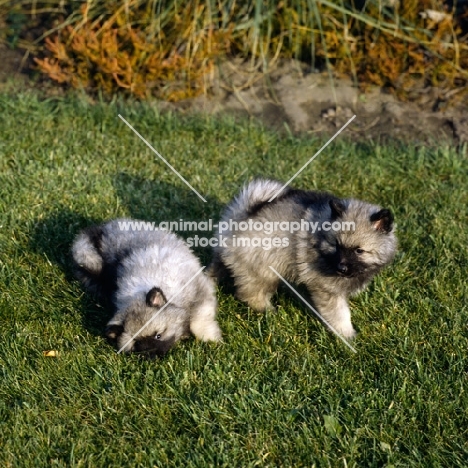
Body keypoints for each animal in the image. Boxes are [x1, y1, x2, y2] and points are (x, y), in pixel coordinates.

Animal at [71, 219, 221, 358]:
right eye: (137, 343)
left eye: (158, 336)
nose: (154, 355)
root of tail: (100, 231)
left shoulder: (200, 289)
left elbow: (198, 321)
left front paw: (210, 337)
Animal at [210, 177, 396, 338]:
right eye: (336, 245)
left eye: (359, 251)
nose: (341, 268)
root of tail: (239, 217)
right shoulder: (327, 289)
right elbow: (339, 314)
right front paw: (347, 336)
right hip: (264, 269)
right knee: (251, 293)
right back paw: (268, 310)